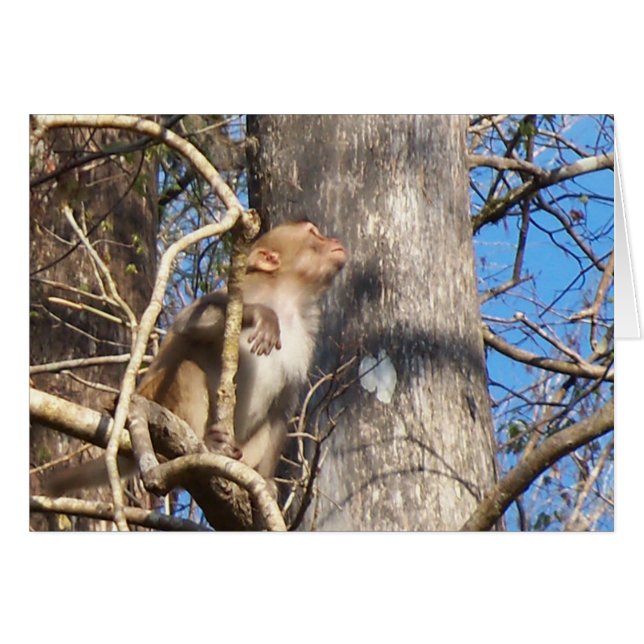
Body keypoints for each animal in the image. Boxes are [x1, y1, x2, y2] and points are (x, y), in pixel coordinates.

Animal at [43, 220, 347, 498]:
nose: (334, 240)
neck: (287, 299)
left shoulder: (307, 336)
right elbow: (187, 321)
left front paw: (268, 480)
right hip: (157, 398)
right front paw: (260, 315)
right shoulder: (247, 290)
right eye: (313, 234)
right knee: (186, 369)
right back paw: (207, 445)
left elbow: (283, 407)